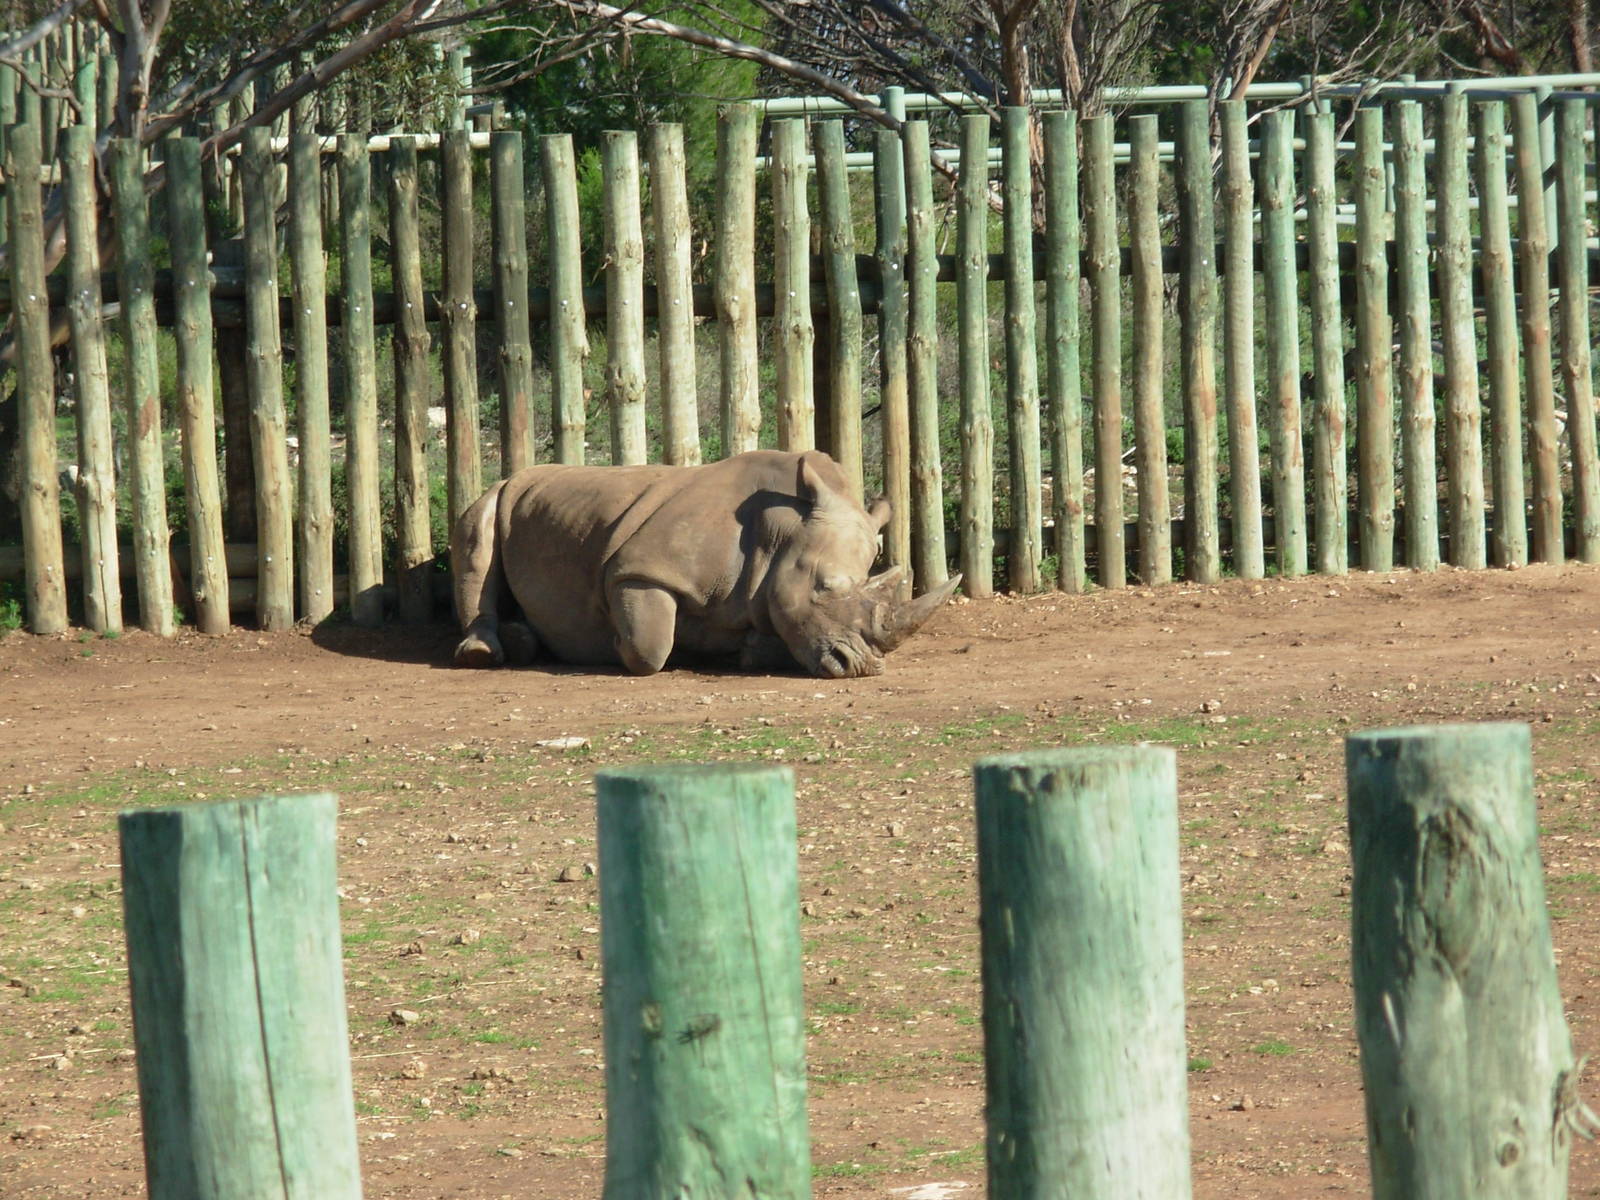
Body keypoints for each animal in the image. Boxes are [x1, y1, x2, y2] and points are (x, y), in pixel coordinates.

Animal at [450, 449, 959, 678]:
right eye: (825, 587)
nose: (862, 666)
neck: (783, 530)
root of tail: (518, 473)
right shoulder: (639, 570)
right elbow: (649, 646)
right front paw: (611, 643)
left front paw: (747, 649)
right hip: (499, 491)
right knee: (477, 539)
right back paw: (485, 653)